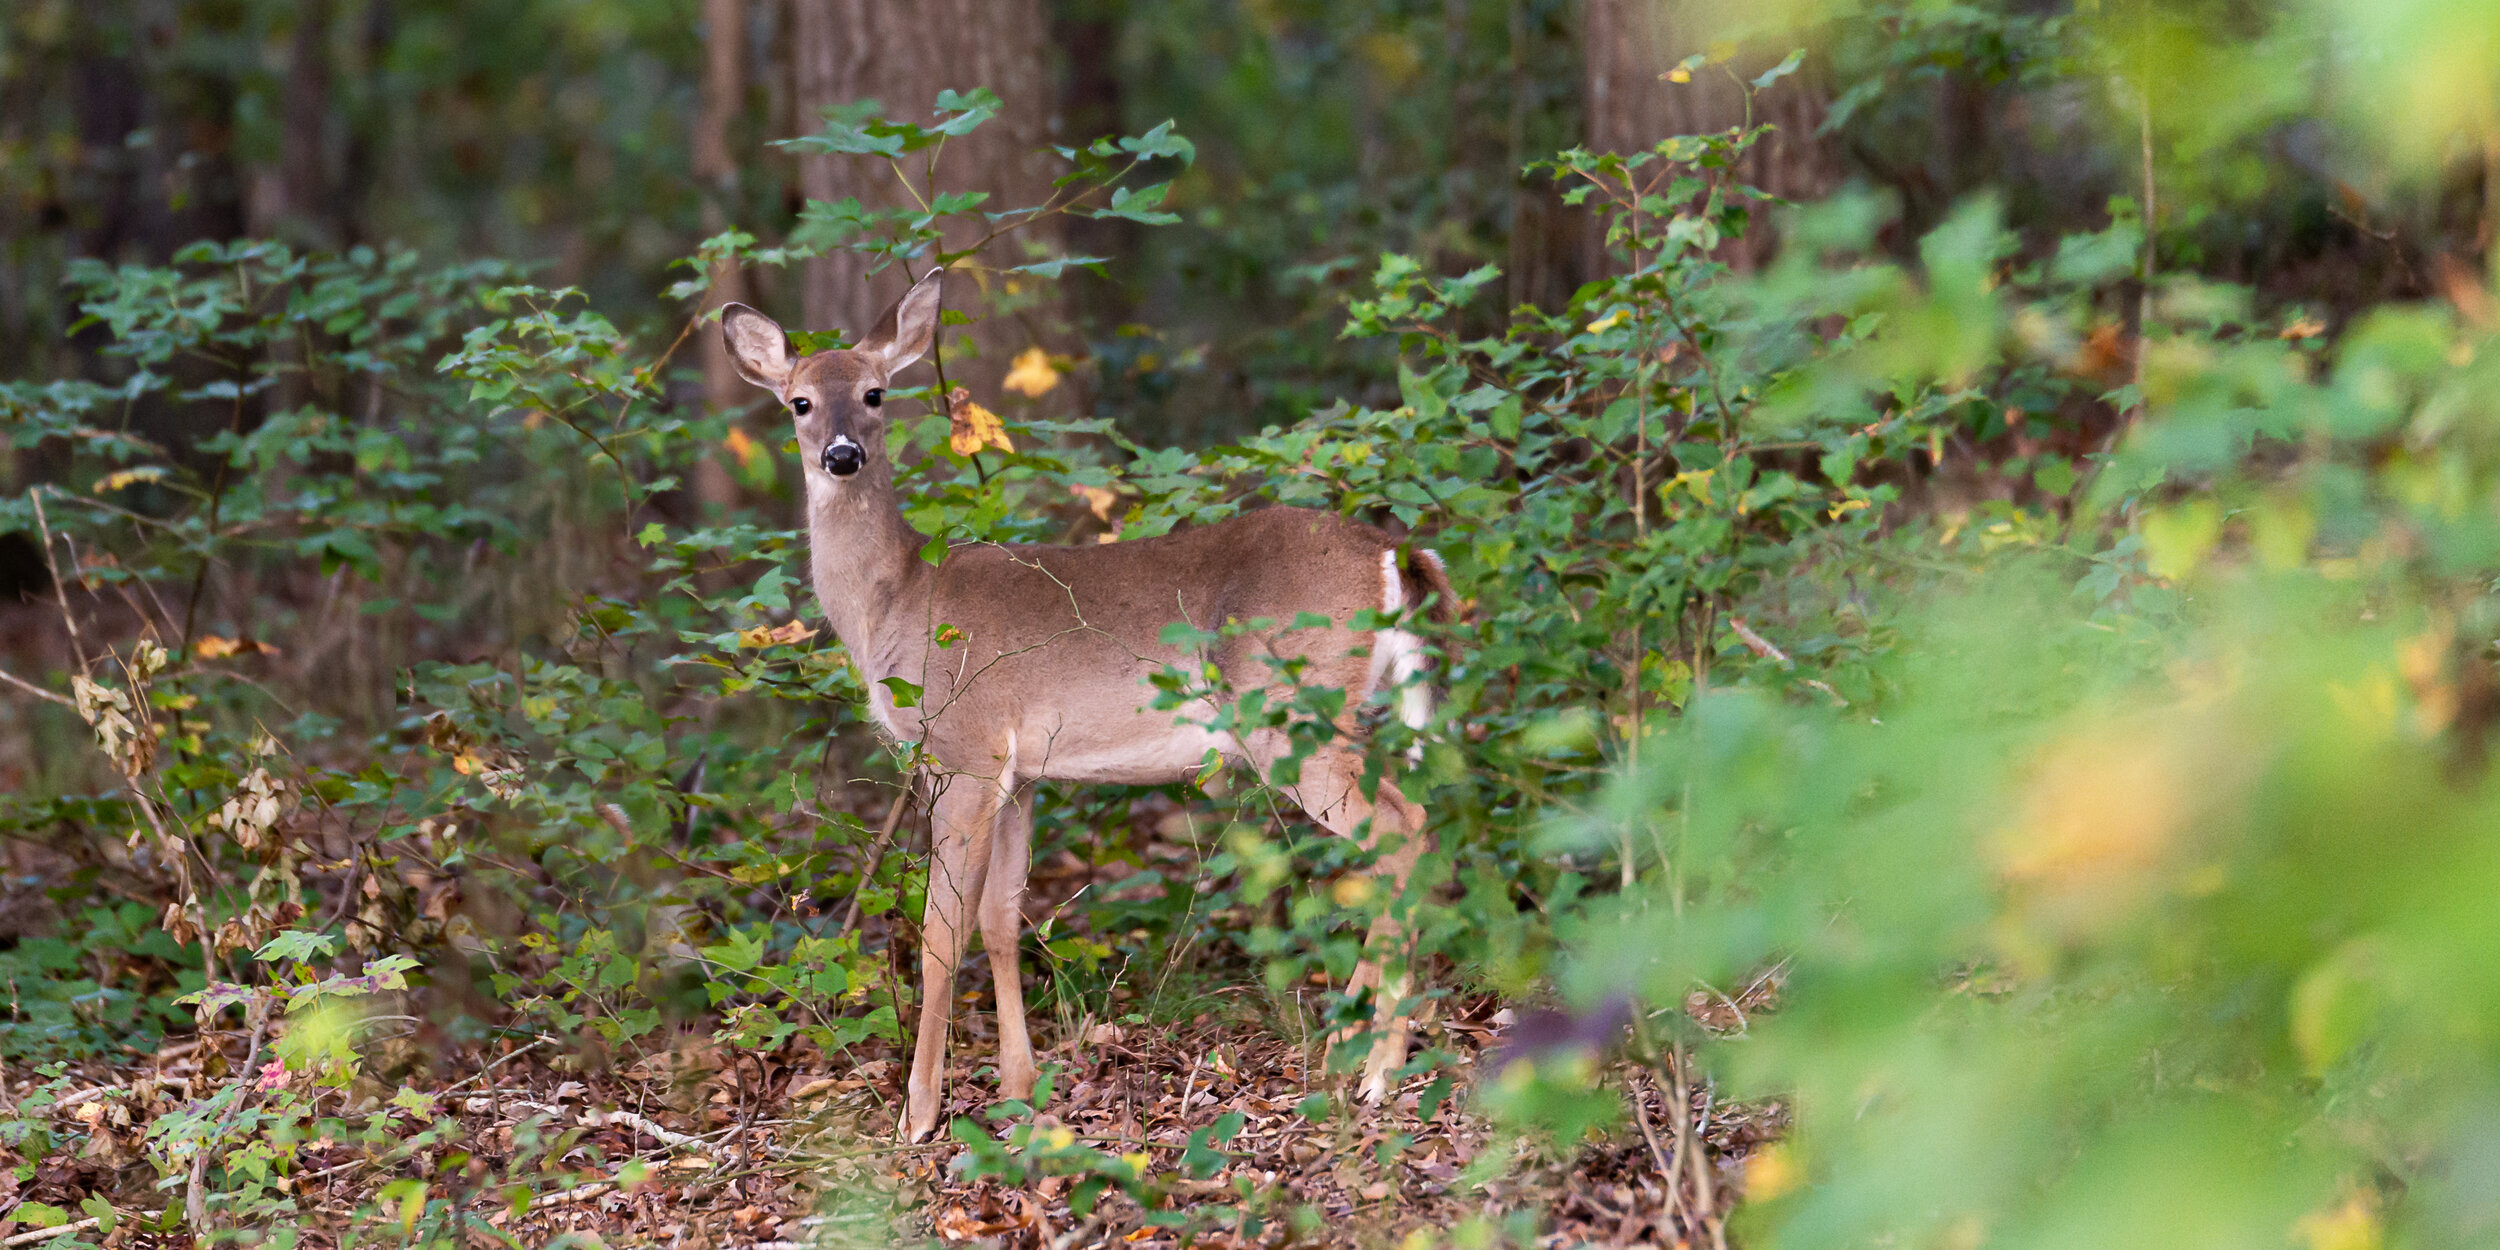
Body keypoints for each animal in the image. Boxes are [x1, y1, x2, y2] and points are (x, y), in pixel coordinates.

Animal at [715, 271, 1460, 1145]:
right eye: (799, 401)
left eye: (875, 393)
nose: (842, 455)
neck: (893, 603)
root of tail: (1393, 554)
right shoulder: (1021, 773)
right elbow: (1002, 920)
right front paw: (1018, 1087)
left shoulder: (964, 748)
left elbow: (941, 933)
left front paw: (920, 1114)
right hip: (1347, 710)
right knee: (1403, 832)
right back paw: (1347, 1041)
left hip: (1285, 709)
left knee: (1404, 830)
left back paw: (1379, 1070)